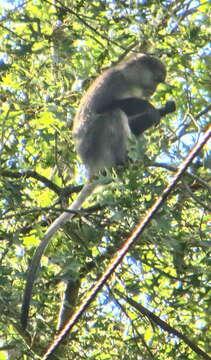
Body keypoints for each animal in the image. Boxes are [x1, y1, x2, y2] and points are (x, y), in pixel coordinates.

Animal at [21, 54, 176, 330]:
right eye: (157, 80)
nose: (153, 90)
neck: (130, 78)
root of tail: (93, 167)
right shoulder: (115, 80)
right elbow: (108, 106)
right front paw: (148, 105)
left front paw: (160, 109)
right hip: (98, 143)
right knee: (112, 114)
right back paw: (122, 161)